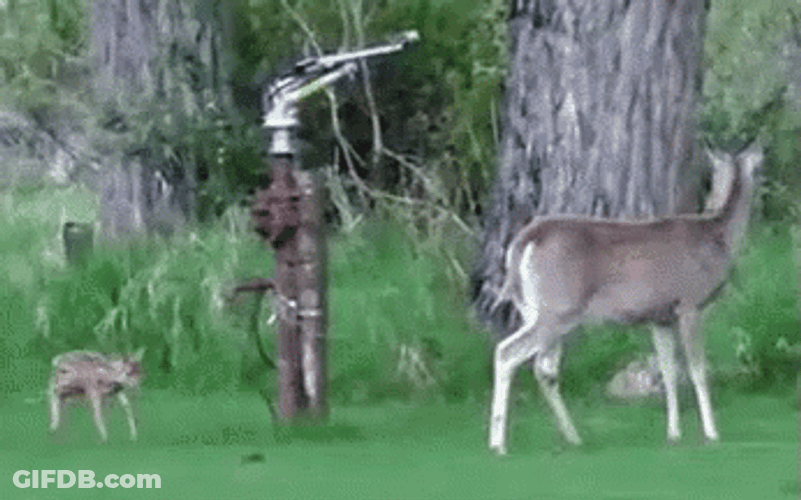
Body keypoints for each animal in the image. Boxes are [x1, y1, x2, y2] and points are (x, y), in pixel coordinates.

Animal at [488, 143, 764, 455]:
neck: (717, 237)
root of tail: (524, 241)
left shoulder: (660, 317)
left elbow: (668, 372)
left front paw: (673, 433)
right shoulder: (690, 304)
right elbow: (698, 370)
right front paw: (712, 433)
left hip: (533, 309)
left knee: (544, 368)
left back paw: (572, 437)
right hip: (559, 309)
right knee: (508, 352)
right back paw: (498, 444)